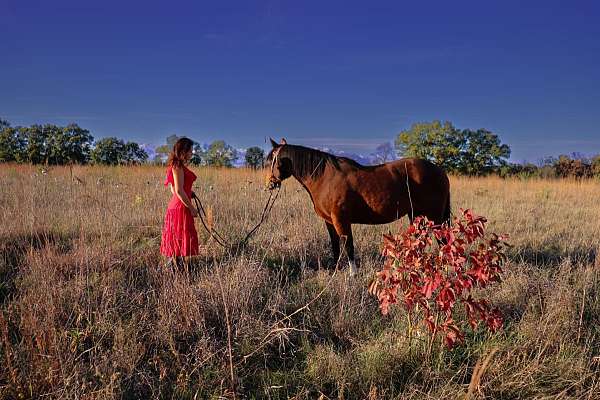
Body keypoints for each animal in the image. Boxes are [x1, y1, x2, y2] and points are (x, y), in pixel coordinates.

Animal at [268, 138, 450, 276]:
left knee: (442, 240)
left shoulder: (341, 220)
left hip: (434, 217)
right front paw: (334, 270)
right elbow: (335, 246)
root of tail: (440, 171)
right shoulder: (329, 221)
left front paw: (353, 274)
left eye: (272, 160)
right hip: (416, 214)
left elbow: (348, 245)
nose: (270, 184)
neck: (325, 178)